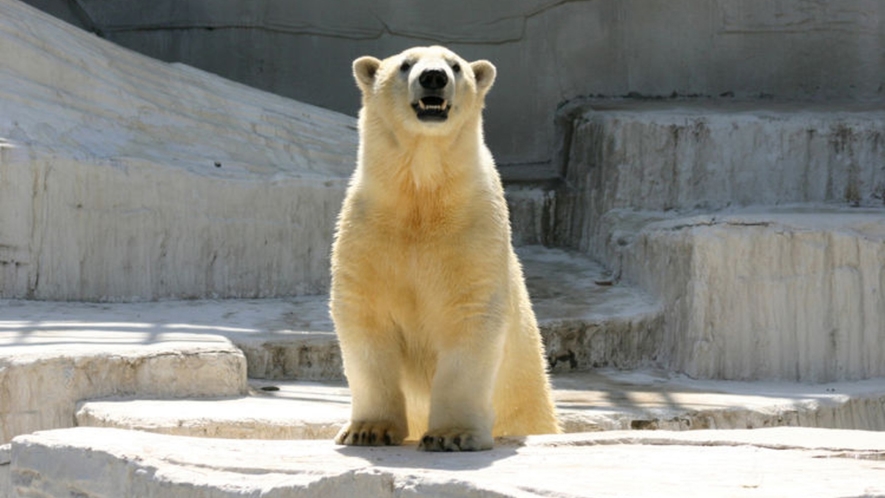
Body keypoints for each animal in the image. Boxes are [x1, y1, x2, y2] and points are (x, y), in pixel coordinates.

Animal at [328, 46, 556, 452]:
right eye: (405, 65)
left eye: (455, 66)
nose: (433, 77)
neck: (422, 199)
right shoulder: (367, 231)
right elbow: (365, 316)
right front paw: (367, 430)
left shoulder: (475, 231)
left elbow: (470, 318)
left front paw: (452, 435)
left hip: (530, 402)